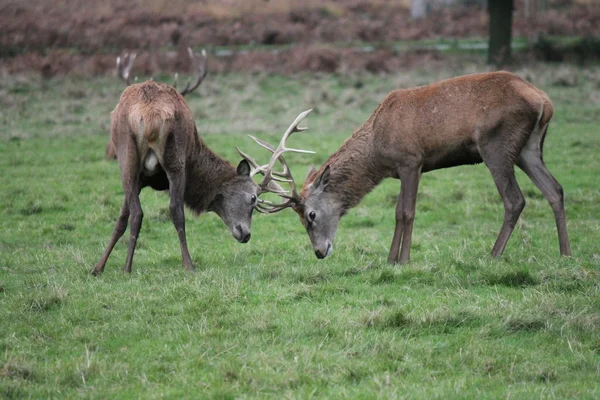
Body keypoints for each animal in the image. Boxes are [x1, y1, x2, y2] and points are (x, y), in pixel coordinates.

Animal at [92, 49, 264, 276]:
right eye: (253, 198)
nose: (246, 234)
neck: (195, 155)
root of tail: (149, 114)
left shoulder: (139, 179)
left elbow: (122, 217)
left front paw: (98, 267)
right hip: (175, 158)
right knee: (176, 210)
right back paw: (188, 264)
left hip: (127, 158)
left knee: (138, 213)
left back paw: (126, 268)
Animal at [247, 72, 572, 262]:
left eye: (311, 215)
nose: (319, 252)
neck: (377, 149)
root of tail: (545, 101)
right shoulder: (401, 168)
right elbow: (397, 212)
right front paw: (390, 259)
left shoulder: (411, 160)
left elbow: (406, 212)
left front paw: (403, 260)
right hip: (528, 148)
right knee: (555, 189)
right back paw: (565, 253)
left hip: (496, 145)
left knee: (515, 199)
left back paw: (492, 255)